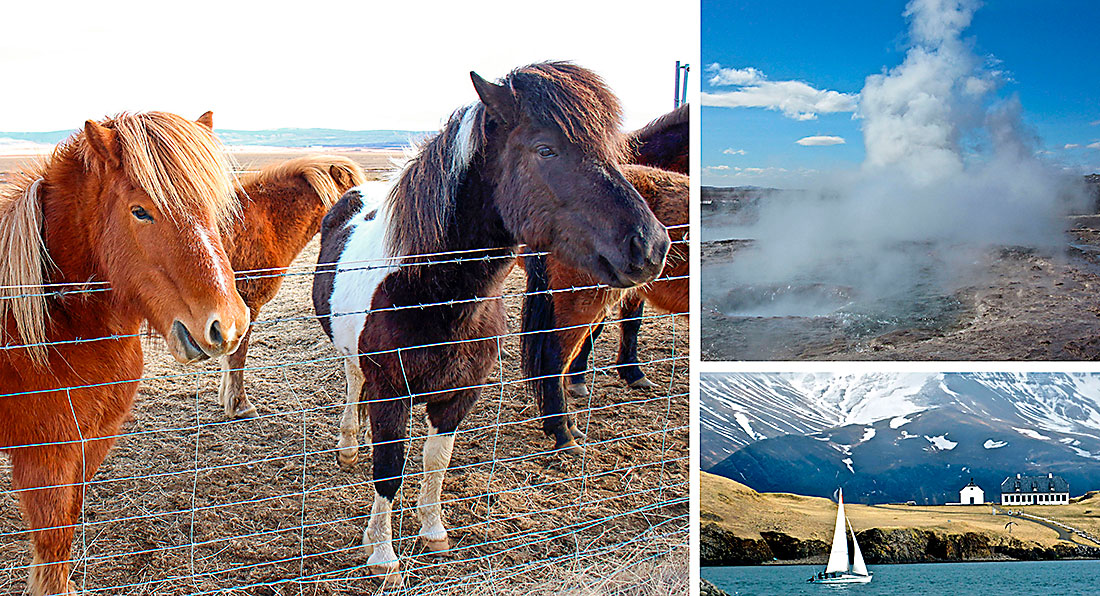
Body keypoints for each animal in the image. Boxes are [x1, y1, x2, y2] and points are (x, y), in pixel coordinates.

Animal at [0, 112, 249, 596]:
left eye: (211, 208)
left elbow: (66, 532)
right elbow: (54, 543)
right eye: (140, 211)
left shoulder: (92, 443)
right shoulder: (43, 458)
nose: (226, 326)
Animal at [312, 61, 668, 589]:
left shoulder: (461, 393)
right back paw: (348, 446)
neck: (432, 295)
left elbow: (436, 461)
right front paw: (382, 555)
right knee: (354, 381)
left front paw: (433, 532)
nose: (651, 246)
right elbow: (390, 468)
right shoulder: (390, 392)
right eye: (545, 149)